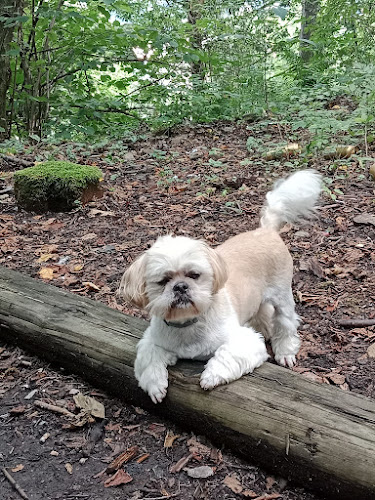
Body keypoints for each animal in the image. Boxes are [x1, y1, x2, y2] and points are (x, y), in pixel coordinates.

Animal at [120, 170, 324, 404]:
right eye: (163, 281)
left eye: (194, 275)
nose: (180, 287)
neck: (189, 323)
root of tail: (265, 230)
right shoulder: (152, 341)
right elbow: (147, 360)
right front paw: (155, 386)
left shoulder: (244, 342)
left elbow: (227, 355)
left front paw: (211, 376)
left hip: (282, 295)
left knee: (286, 322)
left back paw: (285, 351)